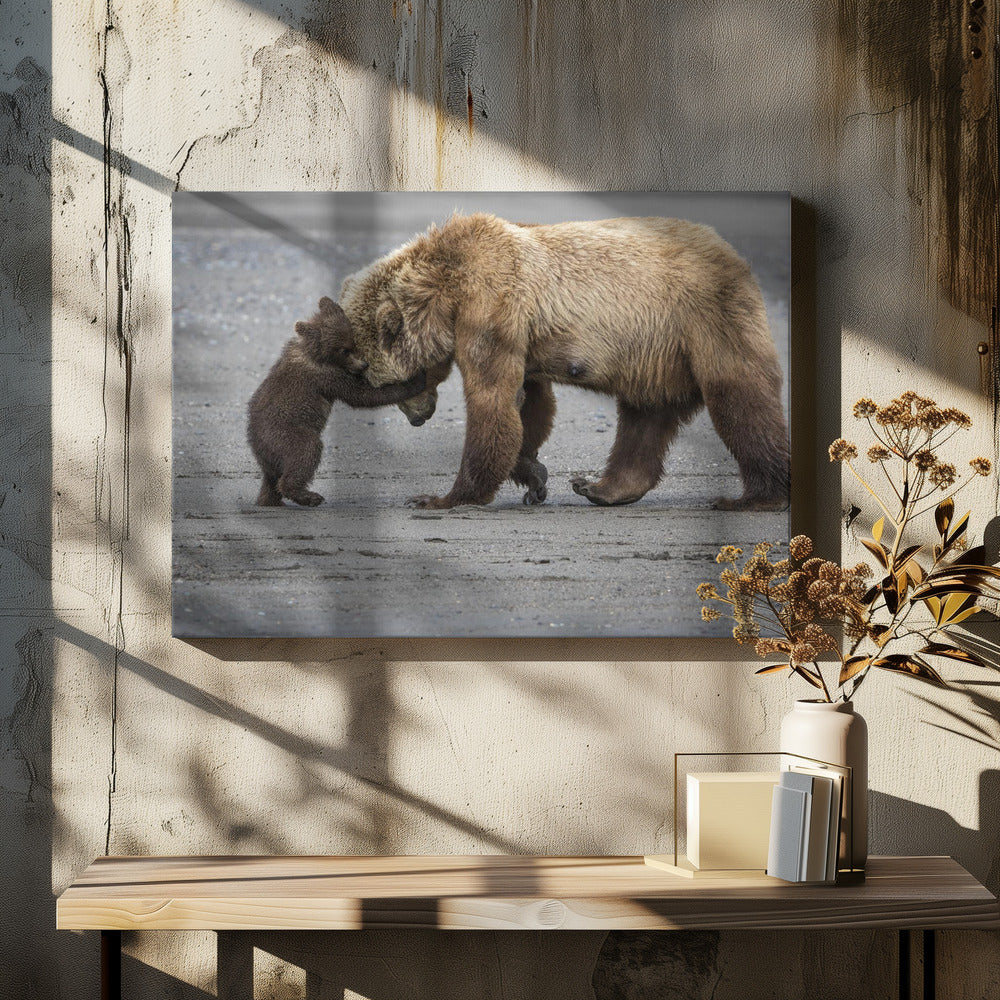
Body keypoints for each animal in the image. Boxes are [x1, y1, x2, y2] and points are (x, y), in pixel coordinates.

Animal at [247, 296, 426, 507]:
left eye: (353, 343)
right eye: (344, 350)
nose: (363, 364)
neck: (315, 353)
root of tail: (257, 446)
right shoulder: (327, 376)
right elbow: (362, 395)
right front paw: (416, 380)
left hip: (271, 455)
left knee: (271, 480)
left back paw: (270, 500)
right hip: (285, 434)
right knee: (305, 452)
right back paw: (308, 496)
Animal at [337, 213, 789, 511]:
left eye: (382, 381)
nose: (418, 418)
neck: (446, 290)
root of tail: (732, 254)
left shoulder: (491, 307)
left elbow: (492, 401)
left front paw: (442, 497)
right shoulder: (520, 332)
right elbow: (529, 403)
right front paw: (533, 475)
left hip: (703, 318)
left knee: (740, 398)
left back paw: (756, 496)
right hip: (655, 354)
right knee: (644, 416)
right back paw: (601, 487)